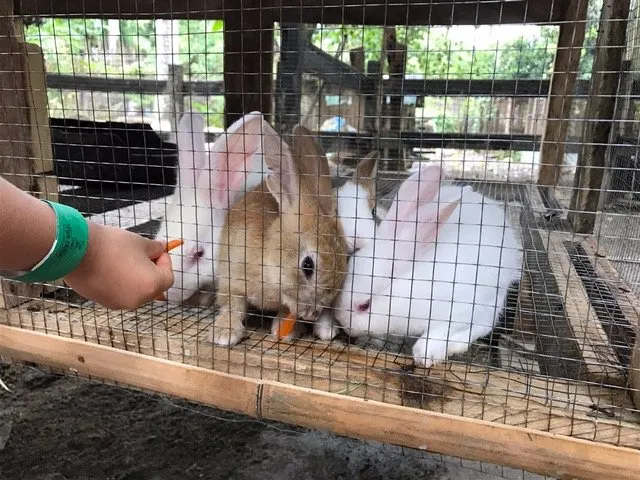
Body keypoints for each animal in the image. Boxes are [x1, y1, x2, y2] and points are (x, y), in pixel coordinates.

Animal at [211, 124, 349, 347]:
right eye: (307, 265)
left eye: (346, 260)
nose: (312, 314)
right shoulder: (231, 278)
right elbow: (232, 305)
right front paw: (224, 334)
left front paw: (285, 330)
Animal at [333, 164, 523, 367]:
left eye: (364, 305)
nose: (341, 322)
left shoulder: (462, 308)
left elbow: (444, 330)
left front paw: (425, 354)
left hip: (494, 298)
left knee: (483, 326)